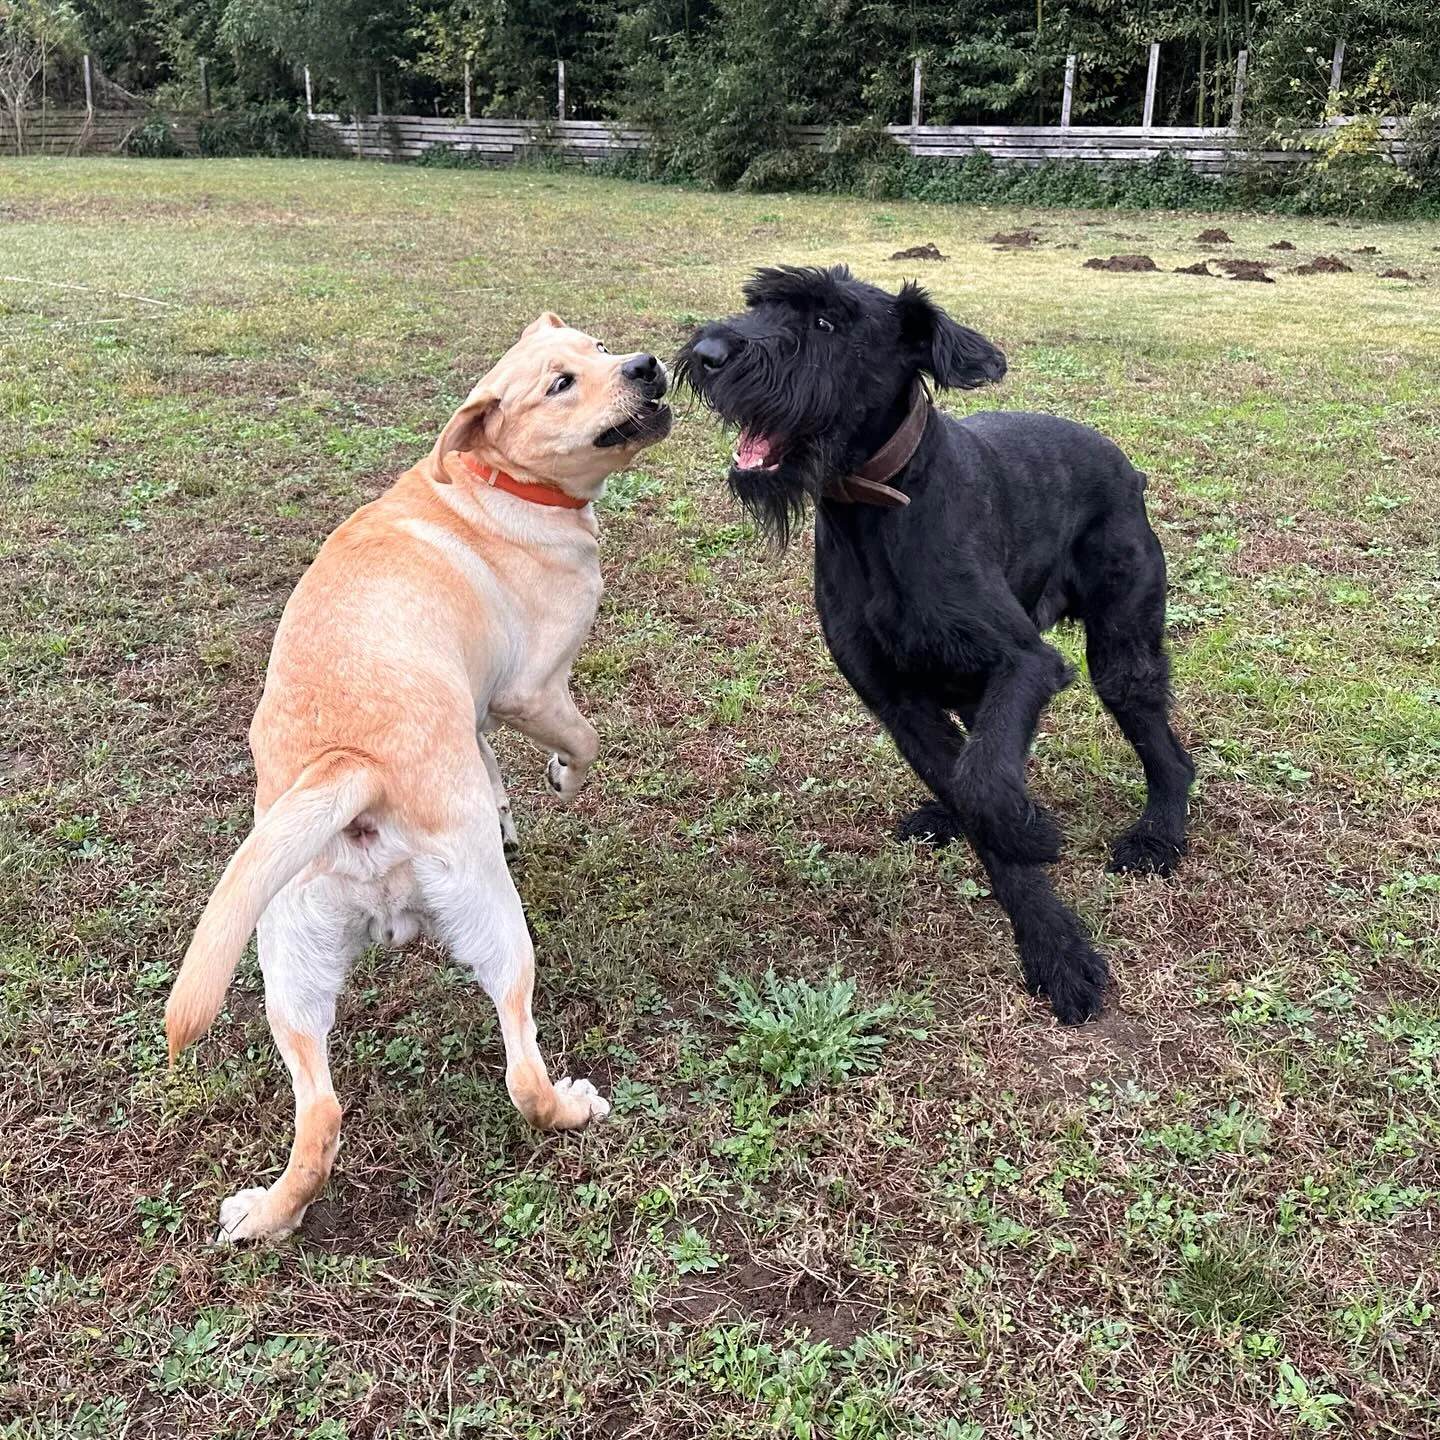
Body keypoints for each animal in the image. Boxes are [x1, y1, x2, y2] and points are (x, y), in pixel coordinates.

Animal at [165, 321, 671, 1244]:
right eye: (561, 383)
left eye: (598, 346)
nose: (648, 365)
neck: (486, 482)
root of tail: (352, 766)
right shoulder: (532, 689)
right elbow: (583, 741)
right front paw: (562, 778)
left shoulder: (473, 711)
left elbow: (490, 762)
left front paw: (508, 804)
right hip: (495, 924)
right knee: (521, 1077)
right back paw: (573, 1105)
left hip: (288, 966)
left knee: (321, 1117)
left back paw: (266, 1213)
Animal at [679, 262, 1198, 1025]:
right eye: (760, 305)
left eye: (828, 321)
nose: (709, 352)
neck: (878, 507)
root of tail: (1125, 465)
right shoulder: (897, 701)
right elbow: (969, 782)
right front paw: (1049, 932)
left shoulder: (1024, 662)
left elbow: (985, 785)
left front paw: (1044, 899)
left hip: (1120, 655)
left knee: (1163, 751)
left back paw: (1158, 835)